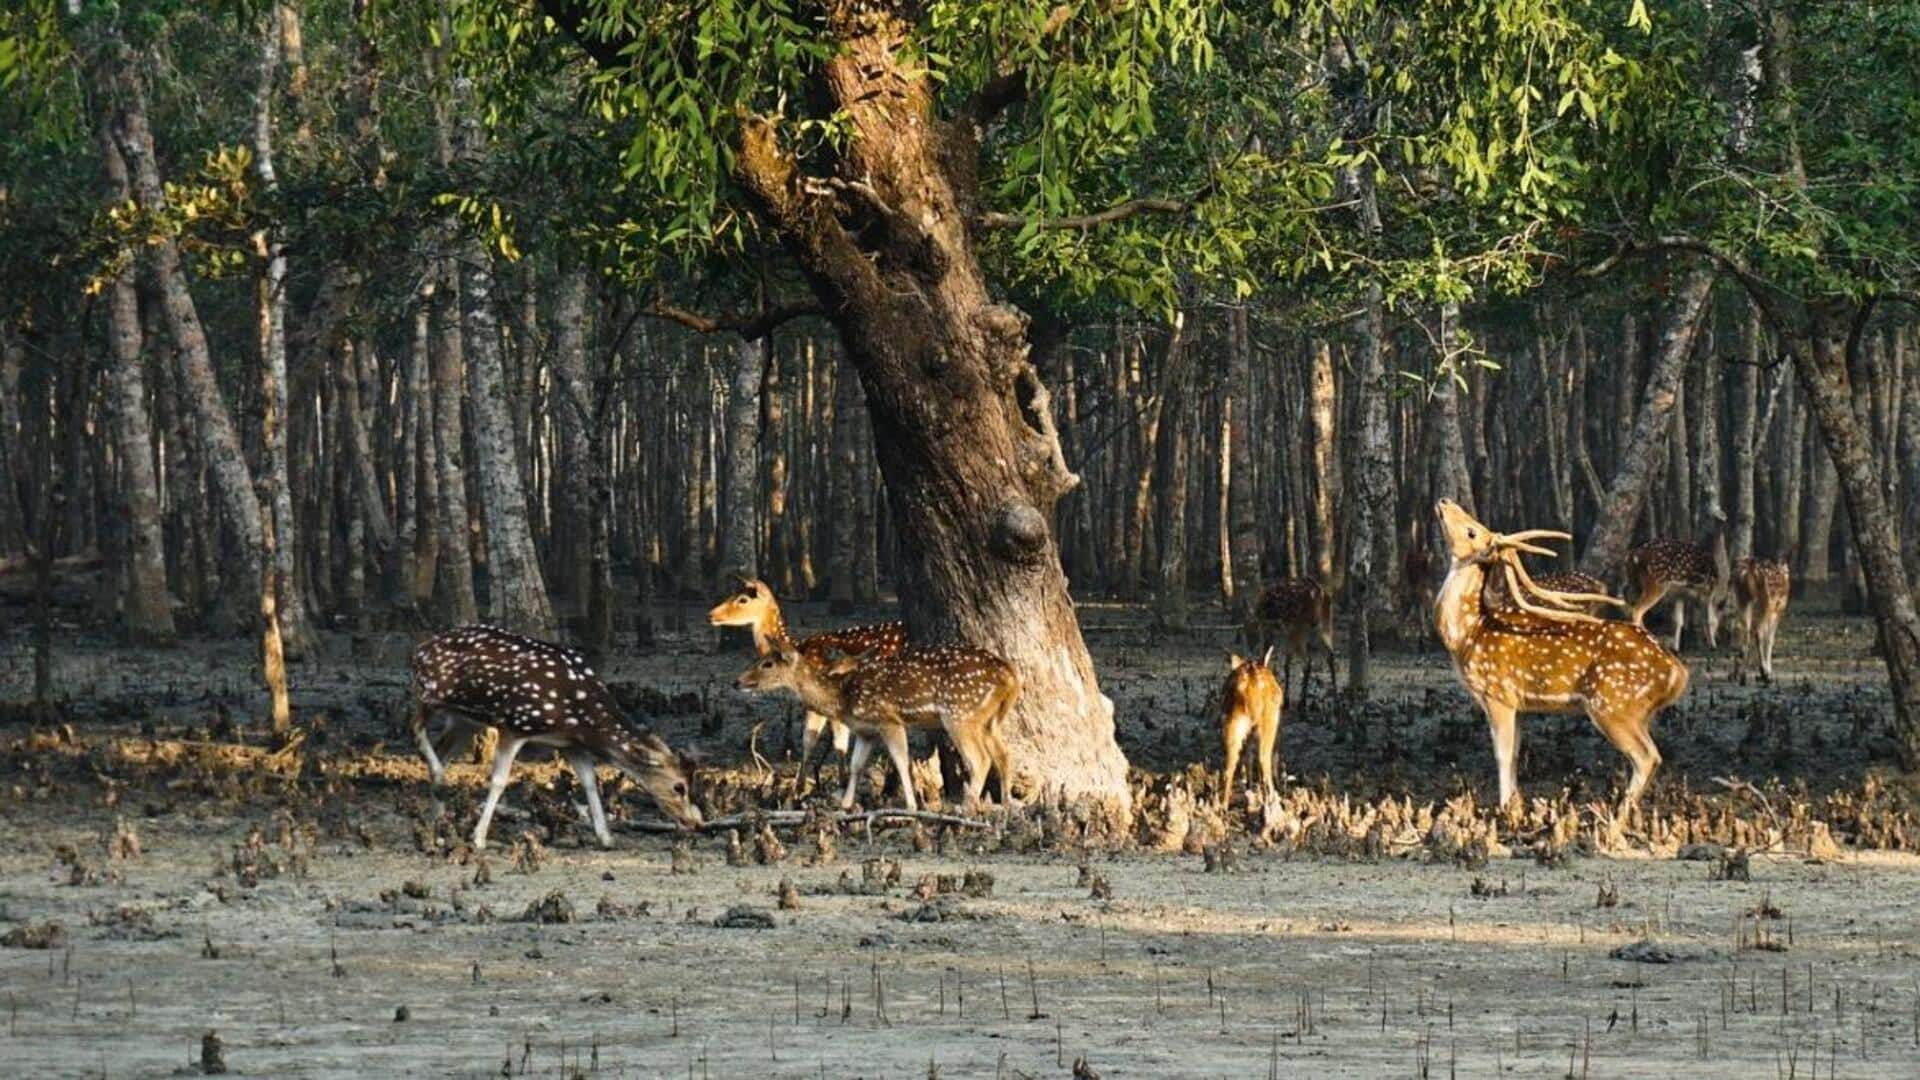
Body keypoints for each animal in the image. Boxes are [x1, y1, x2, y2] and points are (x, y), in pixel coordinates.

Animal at [410, 626, 706, 845]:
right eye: (679, 786)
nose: (696, 822)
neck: (579, 718)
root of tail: (419, 650)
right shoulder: (514, 724)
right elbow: (498, 780)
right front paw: (478, 838)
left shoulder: (570, 743)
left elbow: (590, 781)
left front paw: (605, 837)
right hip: (428, 693)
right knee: (415, 728)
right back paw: (440, 784)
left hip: (464, 720)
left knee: (442, 748)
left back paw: (437, 819)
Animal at [729, 638, 1021, 807]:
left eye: (767, 664)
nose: (737, 681)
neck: (843, 697)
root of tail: (1010, 675)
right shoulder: (865, 731)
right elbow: (857, 765)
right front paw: (845, 806)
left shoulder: (888, 719)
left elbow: (901, 761)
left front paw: (912, 807)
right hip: (989, 719)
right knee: (1004, 754)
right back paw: (1006, 806)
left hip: (959, 713)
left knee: (980, 759)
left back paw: (968, 807)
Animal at [1221, 645, 1282, 799]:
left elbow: (1247, 754)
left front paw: (1249, 784)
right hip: (1269, 720)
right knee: (1264, 757)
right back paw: (1273, 796)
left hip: (1234, 721)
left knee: (1230, 764)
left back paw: (1223, 803)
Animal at [1436, 499, 1689, 810]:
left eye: (1472, 531)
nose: (1445, 501)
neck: (1468, 635)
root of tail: (1678, 672)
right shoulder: (1519, 704)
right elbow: (1516, 754)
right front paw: (1516, 806)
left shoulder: (1498, 693)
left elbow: (1502, 755)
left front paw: (1504, 809)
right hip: (1639, 711)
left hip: (1612, 704)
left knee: (1646, 756)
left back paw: (1618, 813)